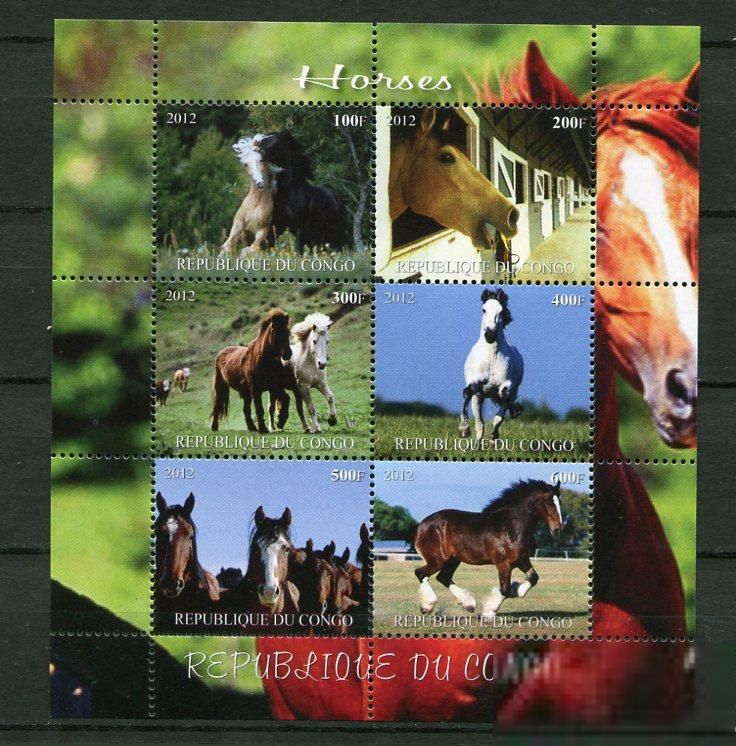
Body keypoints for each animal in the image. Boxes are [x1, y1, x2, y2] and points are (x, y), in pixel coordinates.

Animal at [413, 480, 562, 619]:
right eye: (549, 501)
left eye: (559, 501)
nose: (557, 529)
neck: (510, 526)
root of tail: (422, 525)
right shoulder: (504, 563)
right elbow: (505, 589)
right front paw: (489, 612)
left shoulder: (522, 560)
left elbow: (533, 578)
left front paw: (517, 590)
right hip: (438, 560)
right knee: (421, 573)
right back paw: (427, 606)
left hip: (453, 560)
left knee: (443, 577)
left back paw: (468, 604)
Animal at [460, 288, 524, 440]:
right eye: (484, 309)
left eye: (501, 311)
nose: (490, 335)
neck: (491, 357)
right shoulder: (474, 383)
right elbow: (466, 393)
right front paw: (464, 429)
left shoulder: (506, 386)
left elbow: (499, 415)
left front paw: (494, 436)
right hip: (478, 398)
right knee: (479, 425)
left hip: (510, 392)